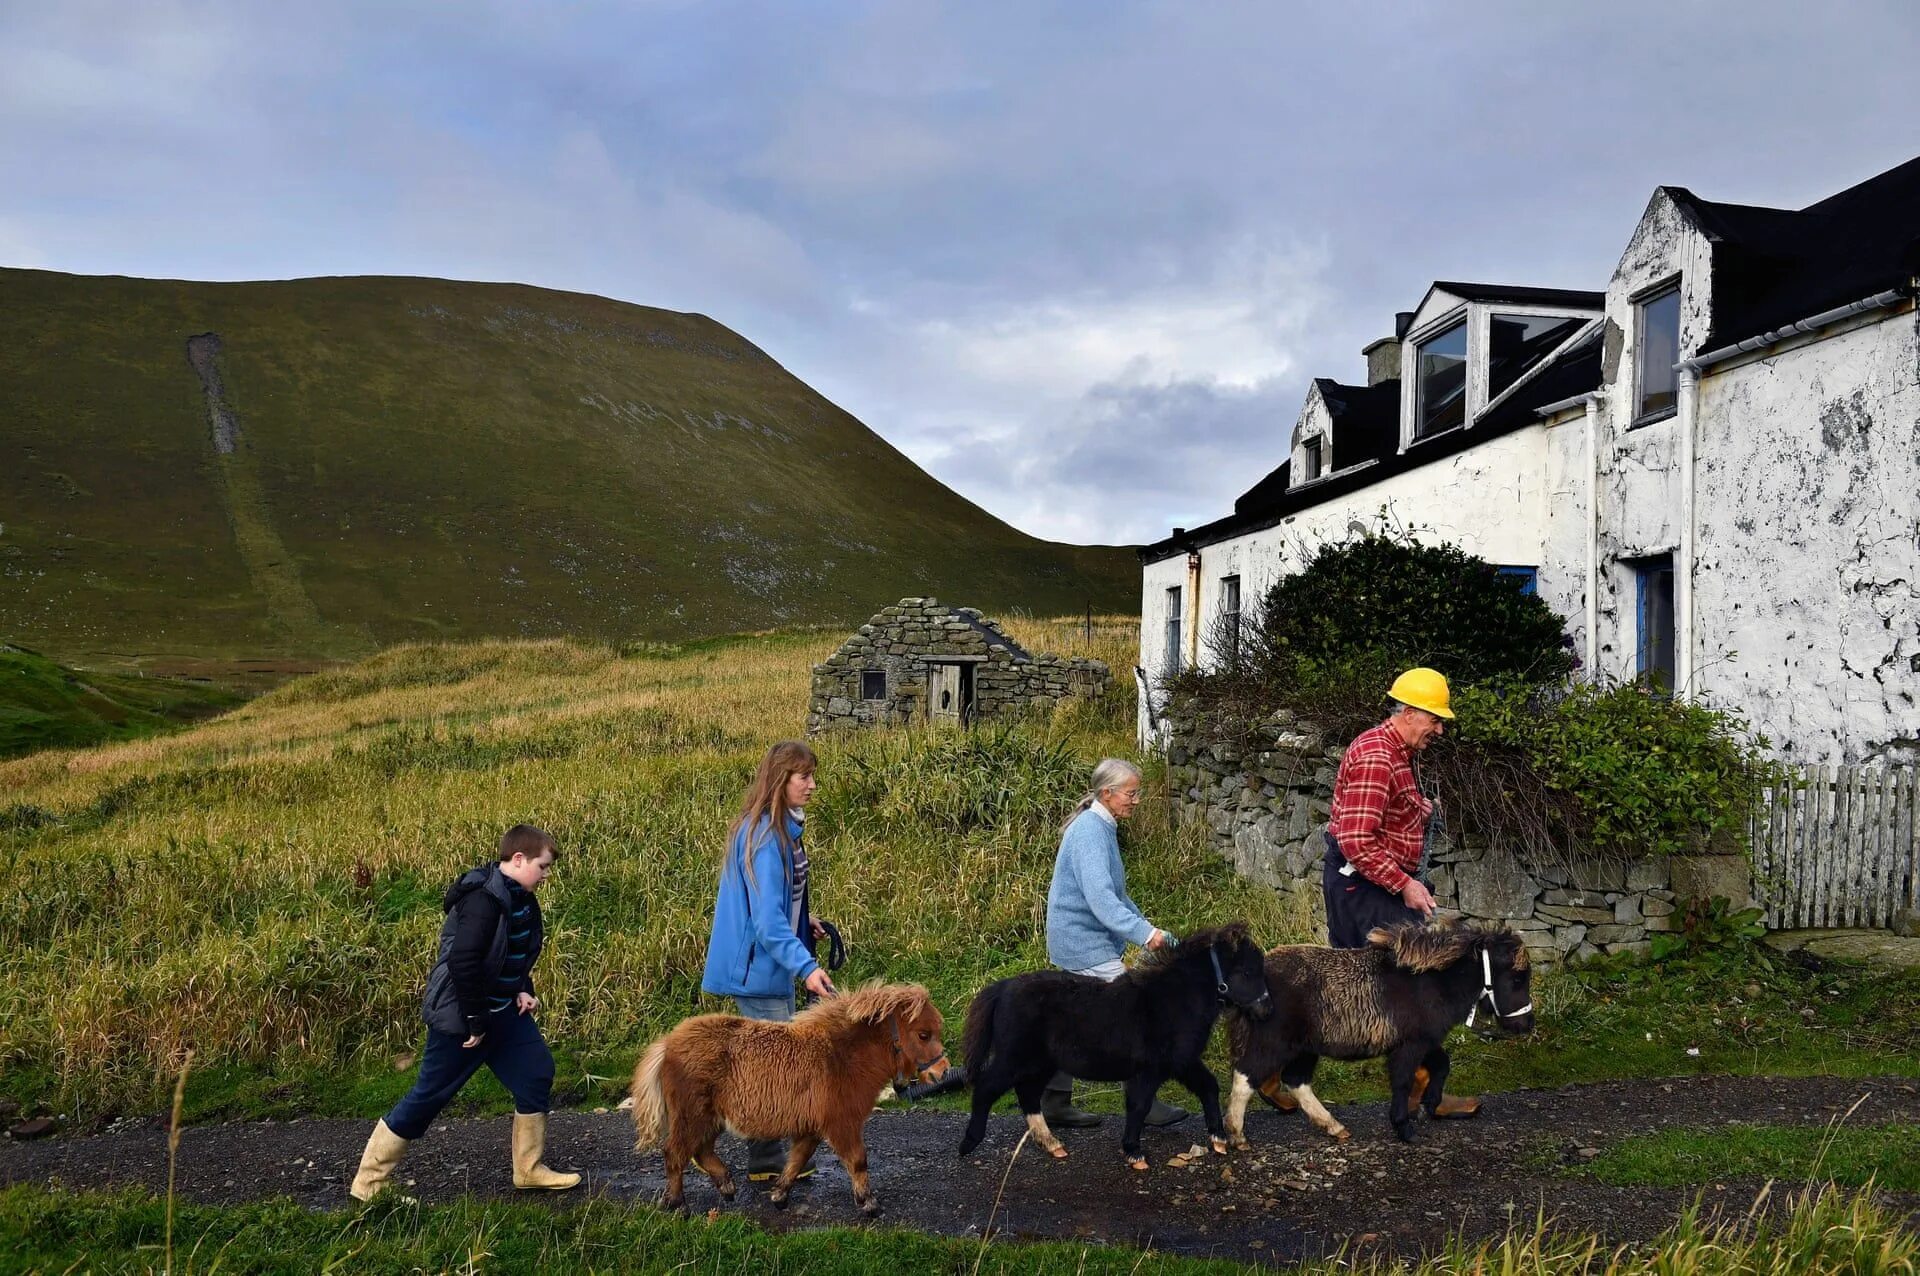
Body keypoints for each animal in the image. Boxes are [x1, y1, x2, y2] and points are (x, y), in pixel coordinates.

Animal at [629, 982, 944, 1212]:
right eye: (923, 1034)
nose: (941, 1073)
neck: (841, 1057)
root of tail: (668, 1043)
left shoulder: (812, 1128)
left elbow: (797, 1161)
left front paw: (779, 1194)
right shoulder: (842, 1124)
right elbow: (857, 1160)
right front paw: (869, 1203)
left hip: (710, 1118)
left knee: (701, 1150)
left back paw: (726, 1187)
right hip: (692, 1115)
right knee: (675, 1152)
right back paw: (675, 1202)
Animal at [952, 921, 1267, 1166]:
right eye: (1247, 971)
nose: (1267, 1009)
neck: (1174, 999)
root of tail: (1003, 987)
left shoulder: (1182, 1062)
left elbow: (1208, 1087)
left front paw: (1219, 1139)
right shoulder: (1154, 1069)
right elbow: (1139, 1105)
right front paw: (1134, 1153)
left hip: (1040, 1064)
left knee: (1028, 1095)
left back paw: (1052, 1144)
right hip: (1015, 1058)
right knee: (986, 1088)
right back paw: (968, 1144)